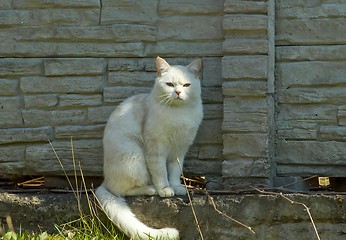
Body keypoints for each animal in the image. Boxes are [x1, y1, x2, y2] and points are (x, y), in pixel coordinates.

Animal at [94, 57, 203, 239]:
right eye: (170, 84)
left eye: (186, 85)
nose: (178, 92)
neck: (179, 114)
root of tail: (104, 181)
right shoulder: (156, 150)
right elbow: (161, 173)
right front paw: (165, 189)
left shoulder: (179, 151)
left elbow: (175, 172)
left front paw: (176, 187)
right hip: (134, 155)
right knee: (120, 190)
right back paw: (151, 189)